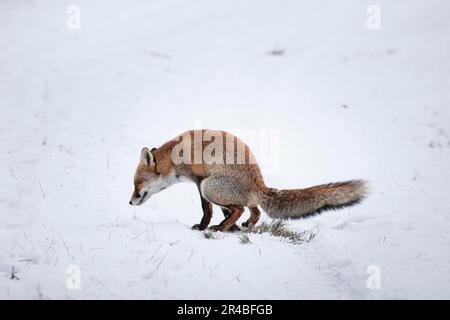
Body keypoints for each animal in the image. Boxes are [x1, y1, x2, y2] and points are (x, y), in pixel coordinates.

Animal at [128, 129, 368, 231]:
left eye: (137, 184)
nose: (130, 201)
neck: (176, 157)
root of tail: (259, 184)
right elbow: (220, 210)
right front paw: (227, 225)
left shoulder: (199, 181)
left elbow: (207, 210)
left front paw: (203, 226)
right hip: (226, 193)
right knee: (254, 211)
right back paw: (241, 225)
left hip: (210, 187)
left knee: (240, 209)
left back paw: (221, 228)